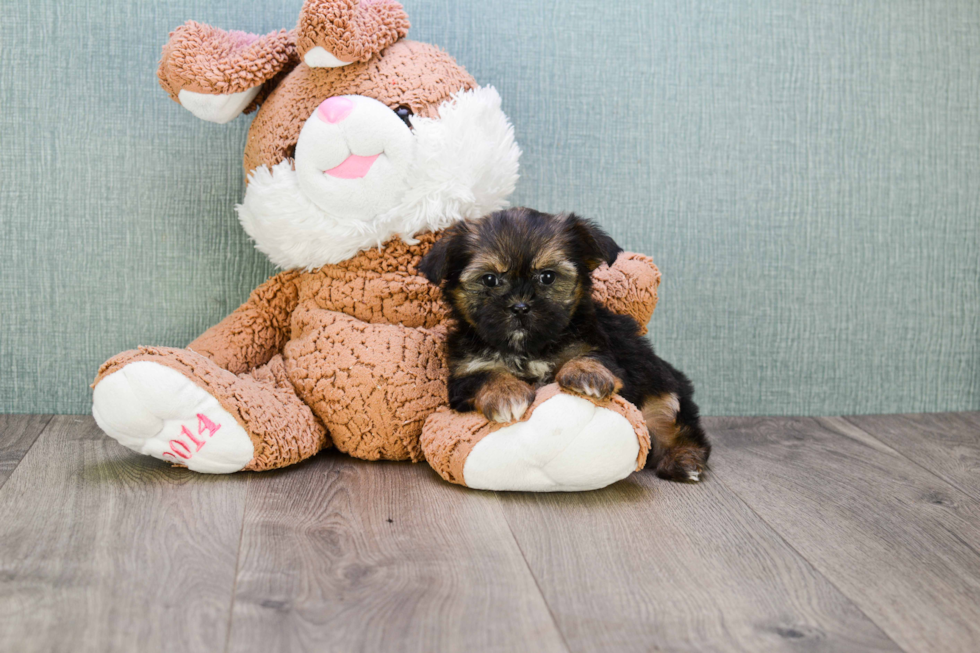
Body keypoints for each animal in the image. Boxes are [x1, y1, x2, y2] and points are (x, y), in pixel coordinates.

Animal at [420, 206, 712, 482]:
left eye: (547, 277)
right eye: (490, 279)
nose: (520, 306)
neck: (529, 348)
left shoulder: (604, 350)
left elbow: (588, 357)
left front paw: (586, 374)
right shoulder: (464, 372)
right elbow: (483, 374)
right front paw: (505, 393)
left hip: (661, 394)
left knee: (676, 427)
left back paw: (684, 461)